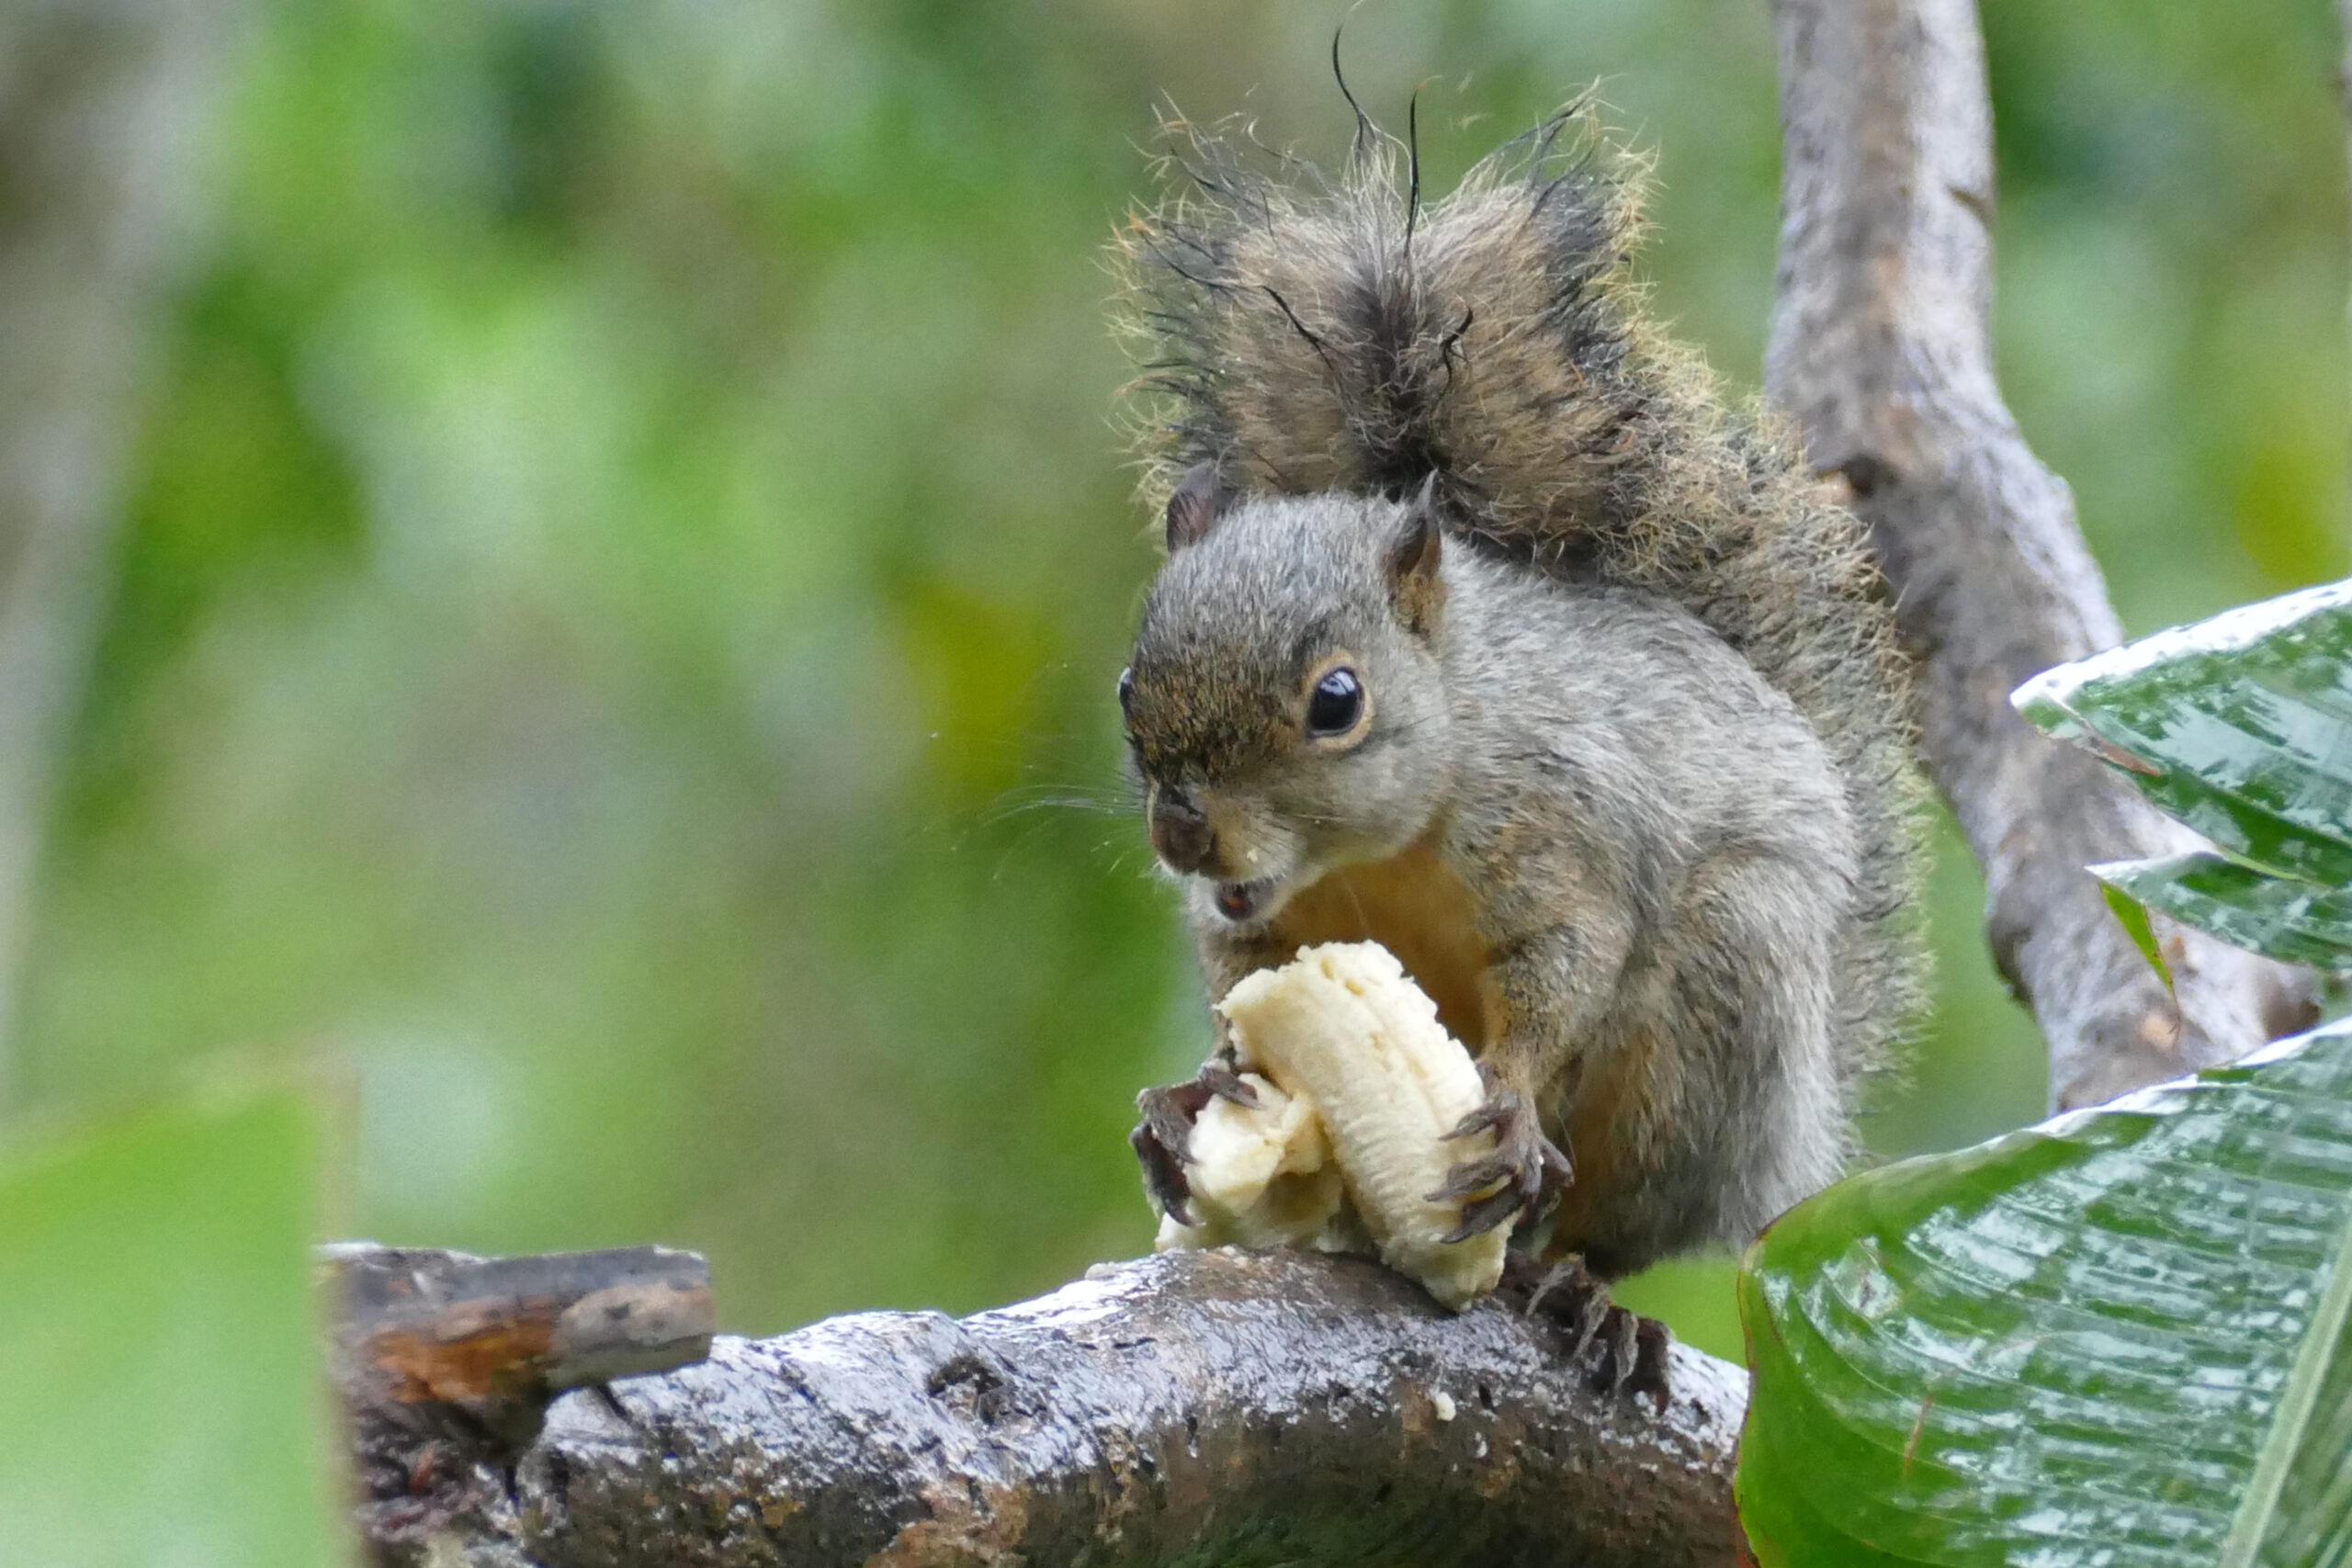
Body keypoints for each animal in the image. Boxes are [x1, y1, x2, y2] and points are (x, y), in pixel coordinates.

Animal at [1110, 104, 1918, 1335]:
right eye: (1126, 687)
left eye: (1336, 701)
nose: (1184, 832)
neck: (1382, 853)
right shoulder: (1252, 928)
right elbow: (1239, 983)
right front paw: (1190, 1098)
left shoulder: (1566, 820)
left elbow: (1564, 962)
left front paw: (1511, 1099)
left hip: (1716, 1014)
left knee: (1622, 1224)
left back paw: (1584, 1290)